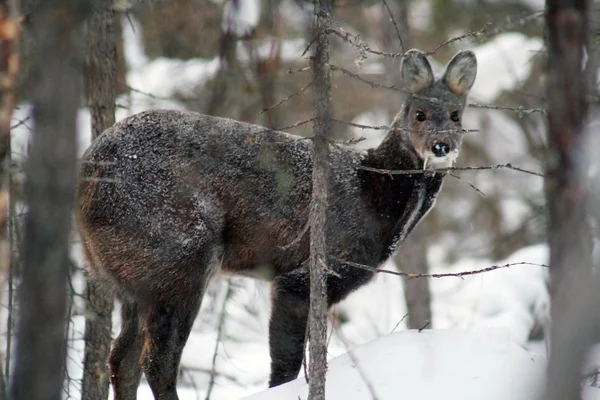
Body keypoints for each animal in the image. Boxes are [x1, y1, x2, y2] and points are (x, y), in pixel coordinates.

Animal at [76, 49, 478, 400]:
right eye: (419, 114)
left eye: (456, 115)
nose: (441, 147)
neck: (375, 194)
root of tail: (88, 173)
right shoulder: (308, 273)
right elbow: (284, 367)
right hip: (176, 255)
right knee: (156, 360)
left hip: (132, 278)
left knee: (121, 359)